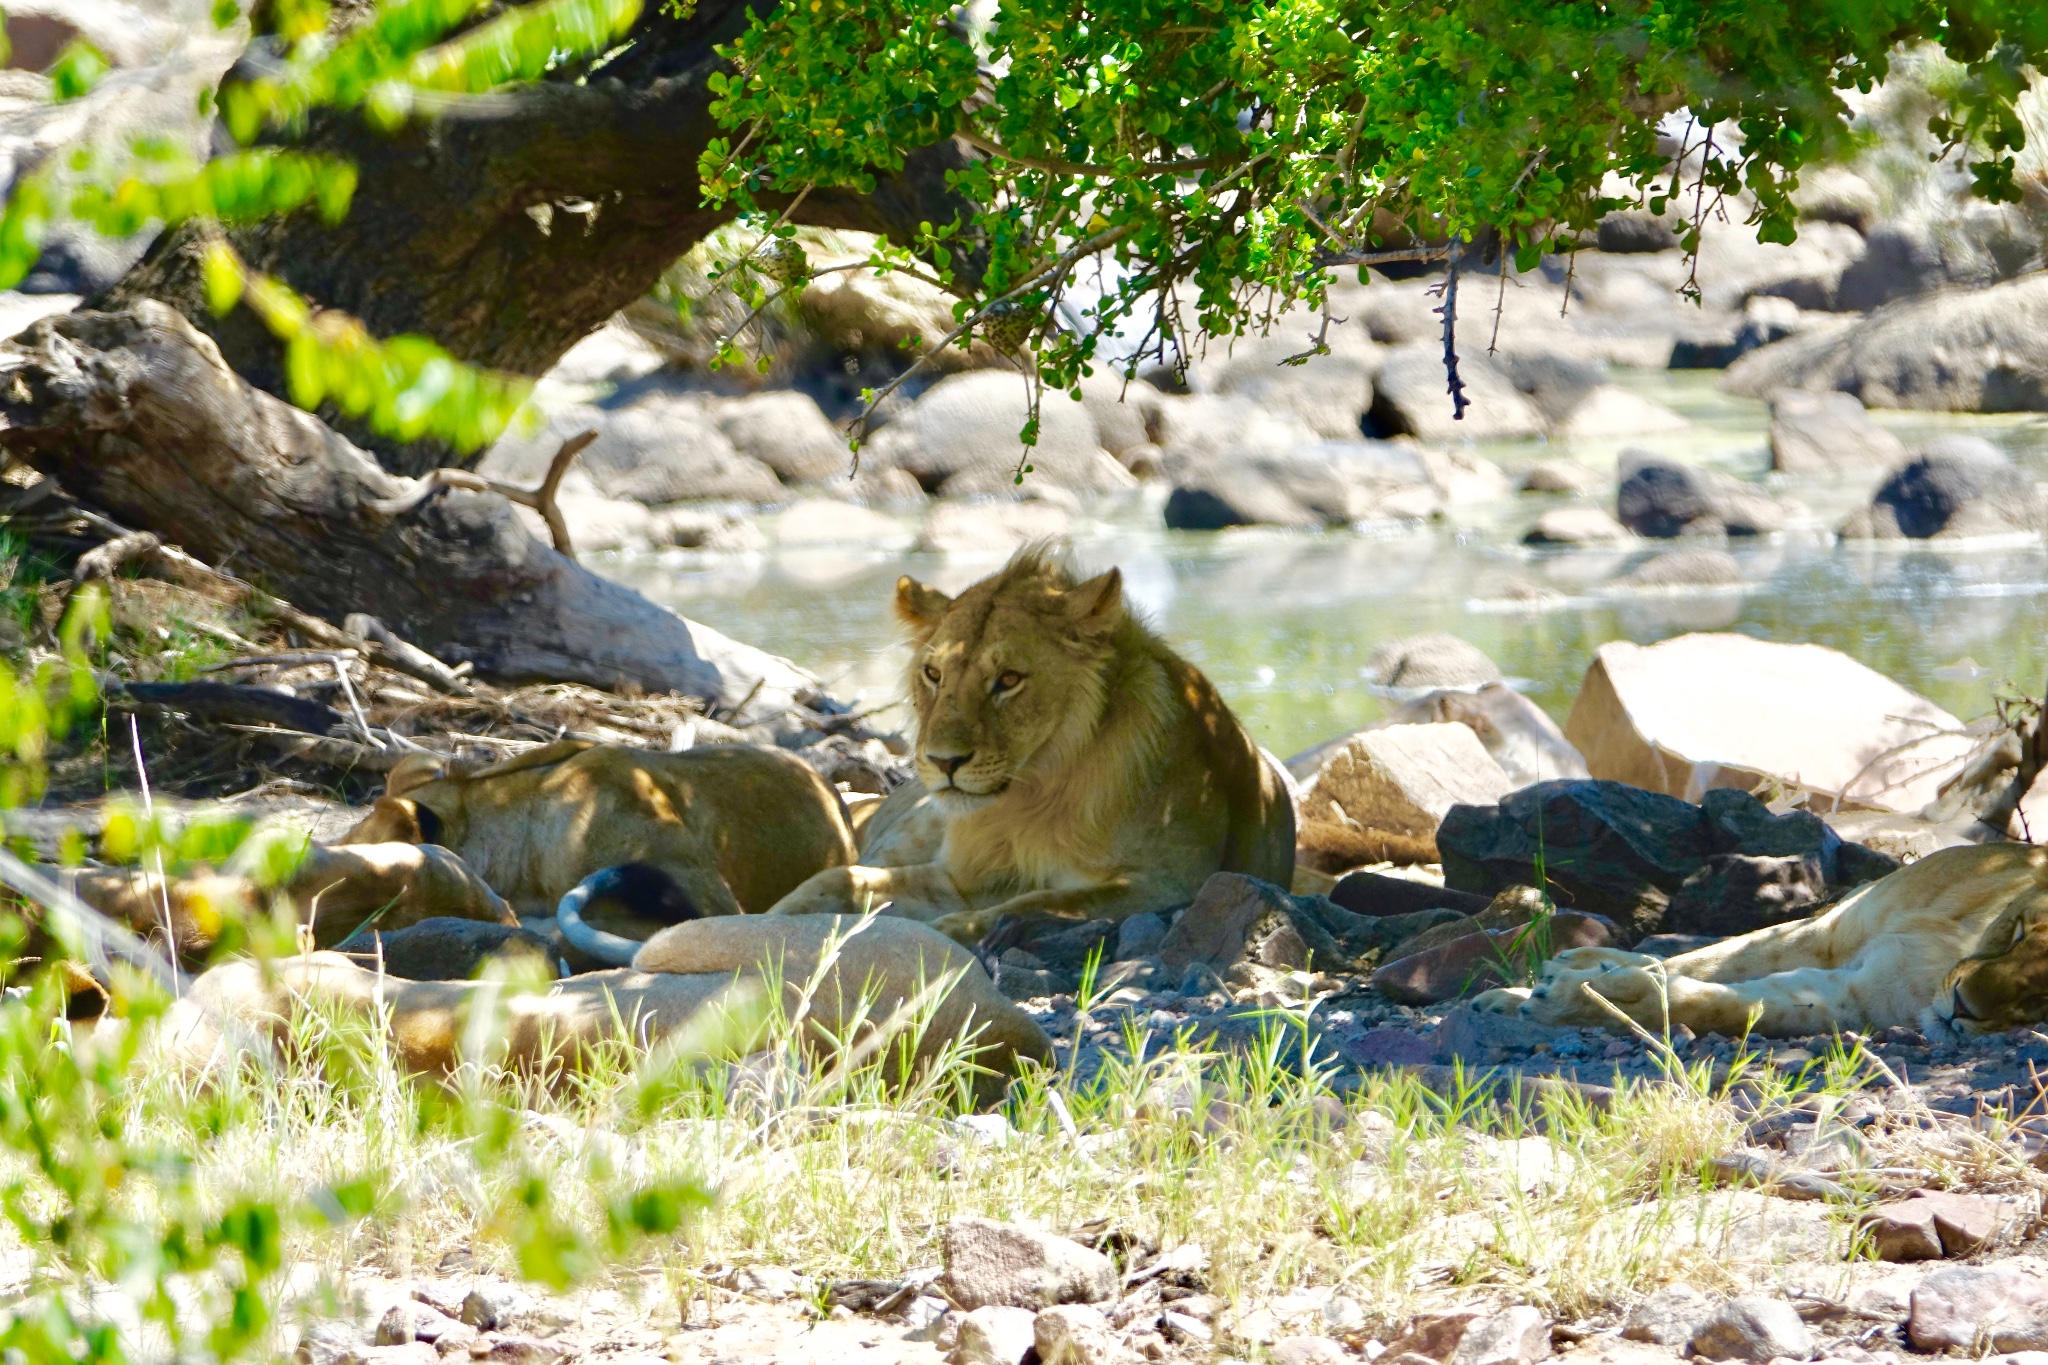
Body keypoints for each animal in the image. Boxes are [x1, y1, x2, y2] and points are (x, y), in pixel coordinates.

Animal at [761, 540, 1286, 941]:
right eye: (934, 674)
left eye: (1009, 680)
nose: (943, 762)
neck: (1033, 795)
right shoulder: (961, 875)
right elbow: (843, 881)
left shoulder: (1175, 882)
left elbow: (1045, 900)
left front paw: (958, 929)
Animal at [1482, 843, 2048, 1035]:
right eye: (2019, 931)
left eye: (2041, 1000)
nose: (1962, 1009)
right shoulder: (1826, 937)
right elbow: (1715, 962)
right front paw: (1541, 992)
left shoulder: (1855, 1000)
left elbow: (1727, 1006)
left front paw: (1584, 1001)